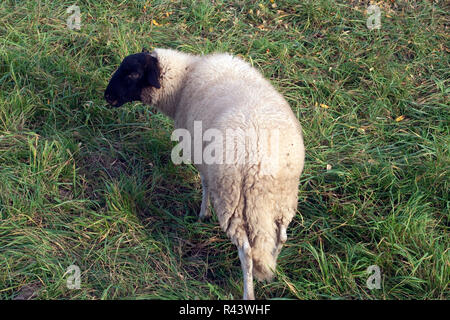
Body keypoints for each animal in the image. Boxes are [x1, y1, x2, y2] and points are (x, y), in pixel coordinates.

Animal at [103, 48, 304, 300]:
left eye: (133, 73)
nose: (107, 96)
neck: (184, 79)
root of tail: (259, 167)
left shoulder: (199, 153)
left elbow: (205, 183)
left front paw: (202, 214)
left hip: (231, 199)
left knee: (246, 251)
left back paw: (248, 292)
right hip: (283, 199)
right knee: (281, 236)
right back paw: (270, 271)